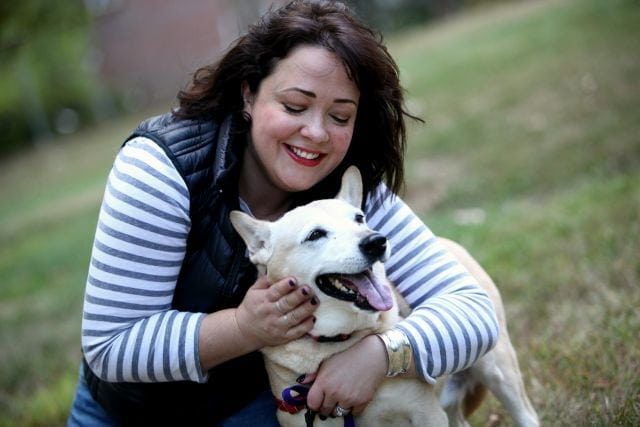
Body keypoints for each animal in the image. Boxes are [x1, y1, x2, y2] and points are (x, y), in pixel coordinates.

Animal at [228, 167, 536, 427]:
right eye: (315, 234)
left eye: (359, 218)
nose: (376, 241)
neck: (336, 343)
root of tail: (447, 242)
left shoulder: (426, 414)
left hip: (498, 369)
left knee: (526, 414)